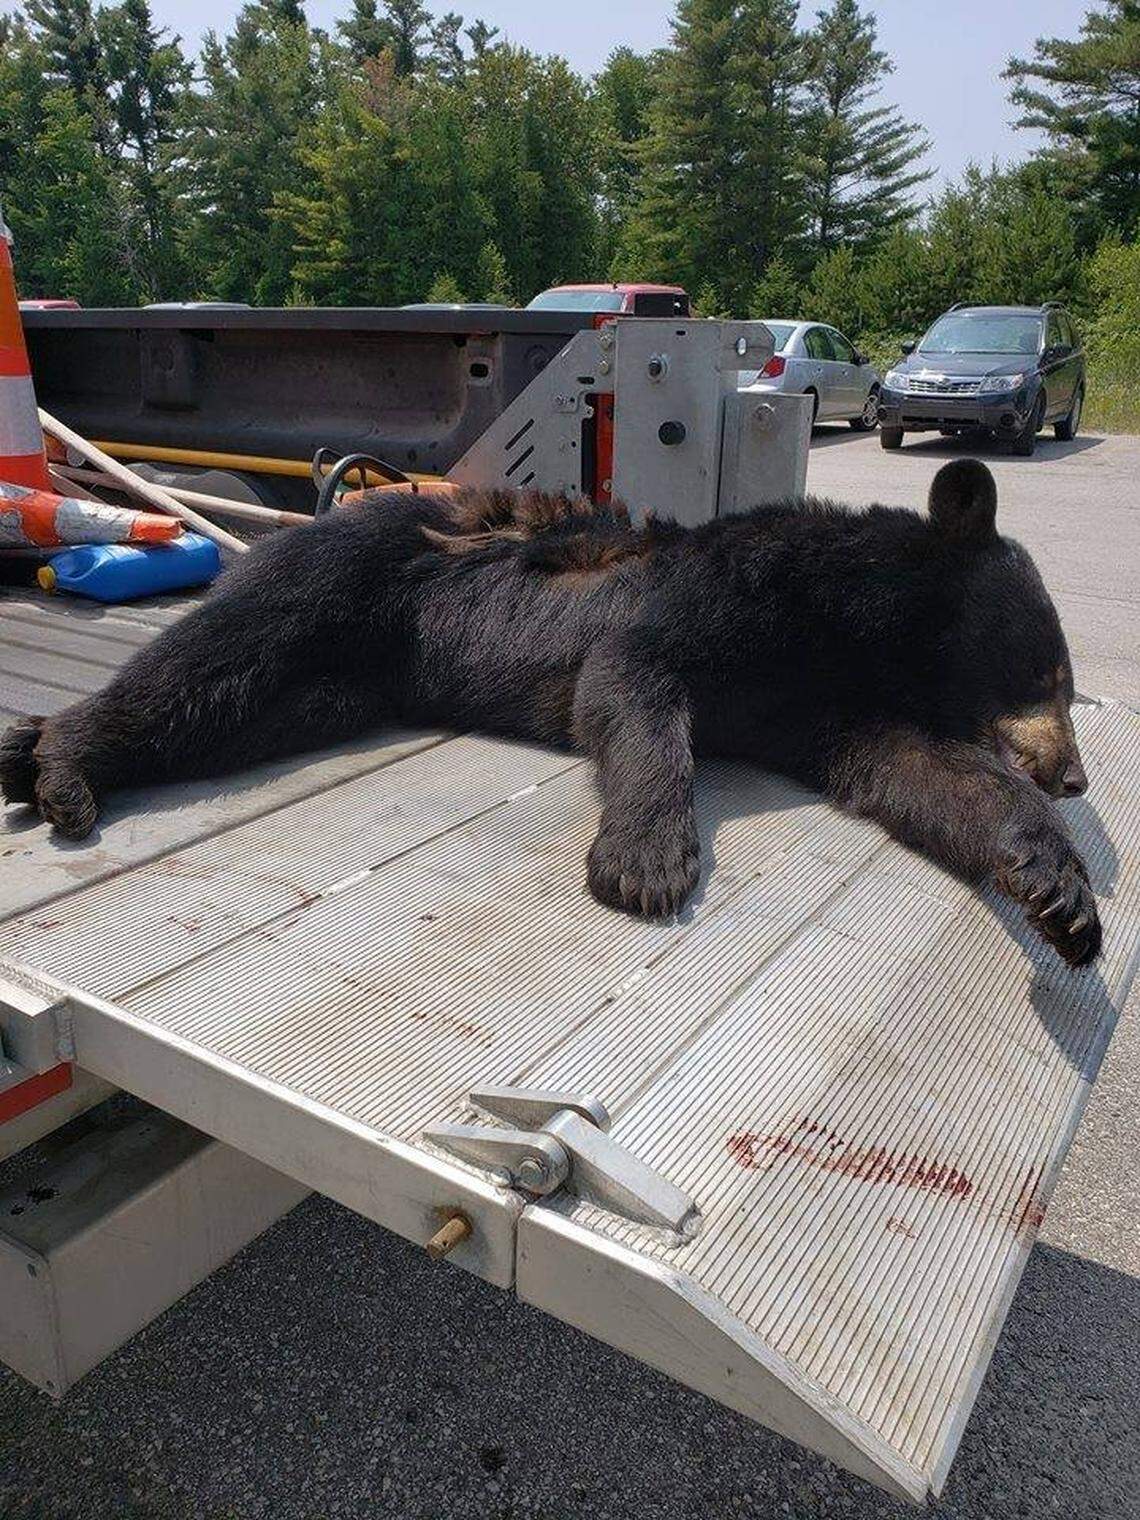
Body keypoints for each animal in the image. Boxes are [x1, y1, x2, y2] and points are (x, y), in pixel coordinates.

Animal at [0, 457, 1099, 968]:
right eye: (1048, 669)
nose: (1076, 772)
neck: (853, 626)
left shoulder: (837, 705)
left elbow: (925, 773)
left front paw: (1060, 893)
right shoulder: (725, 593)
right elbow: (628, 682)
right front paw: (647, 861)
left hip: (344, 679)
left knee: (234, 711)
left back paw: (42, 753)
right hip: (338, 579)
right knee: (207, 664)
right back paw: (60, 757)